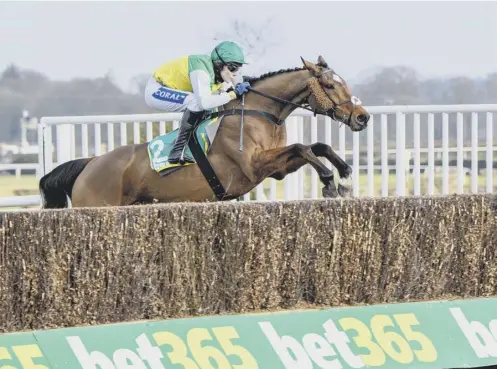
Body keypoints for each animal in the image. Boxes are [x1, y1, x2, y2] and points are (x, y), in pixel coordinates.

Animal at [38, 56, 370, 208]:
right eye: (329, 85)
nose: (362, 117)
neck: (258, 111)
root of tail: (90, 163)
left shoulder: (276, 169)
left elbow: (317, 146)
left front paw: (345, 178)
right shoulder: (253, 165)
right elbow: (303, 146)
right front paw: (329, 182)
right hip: (96, 204)